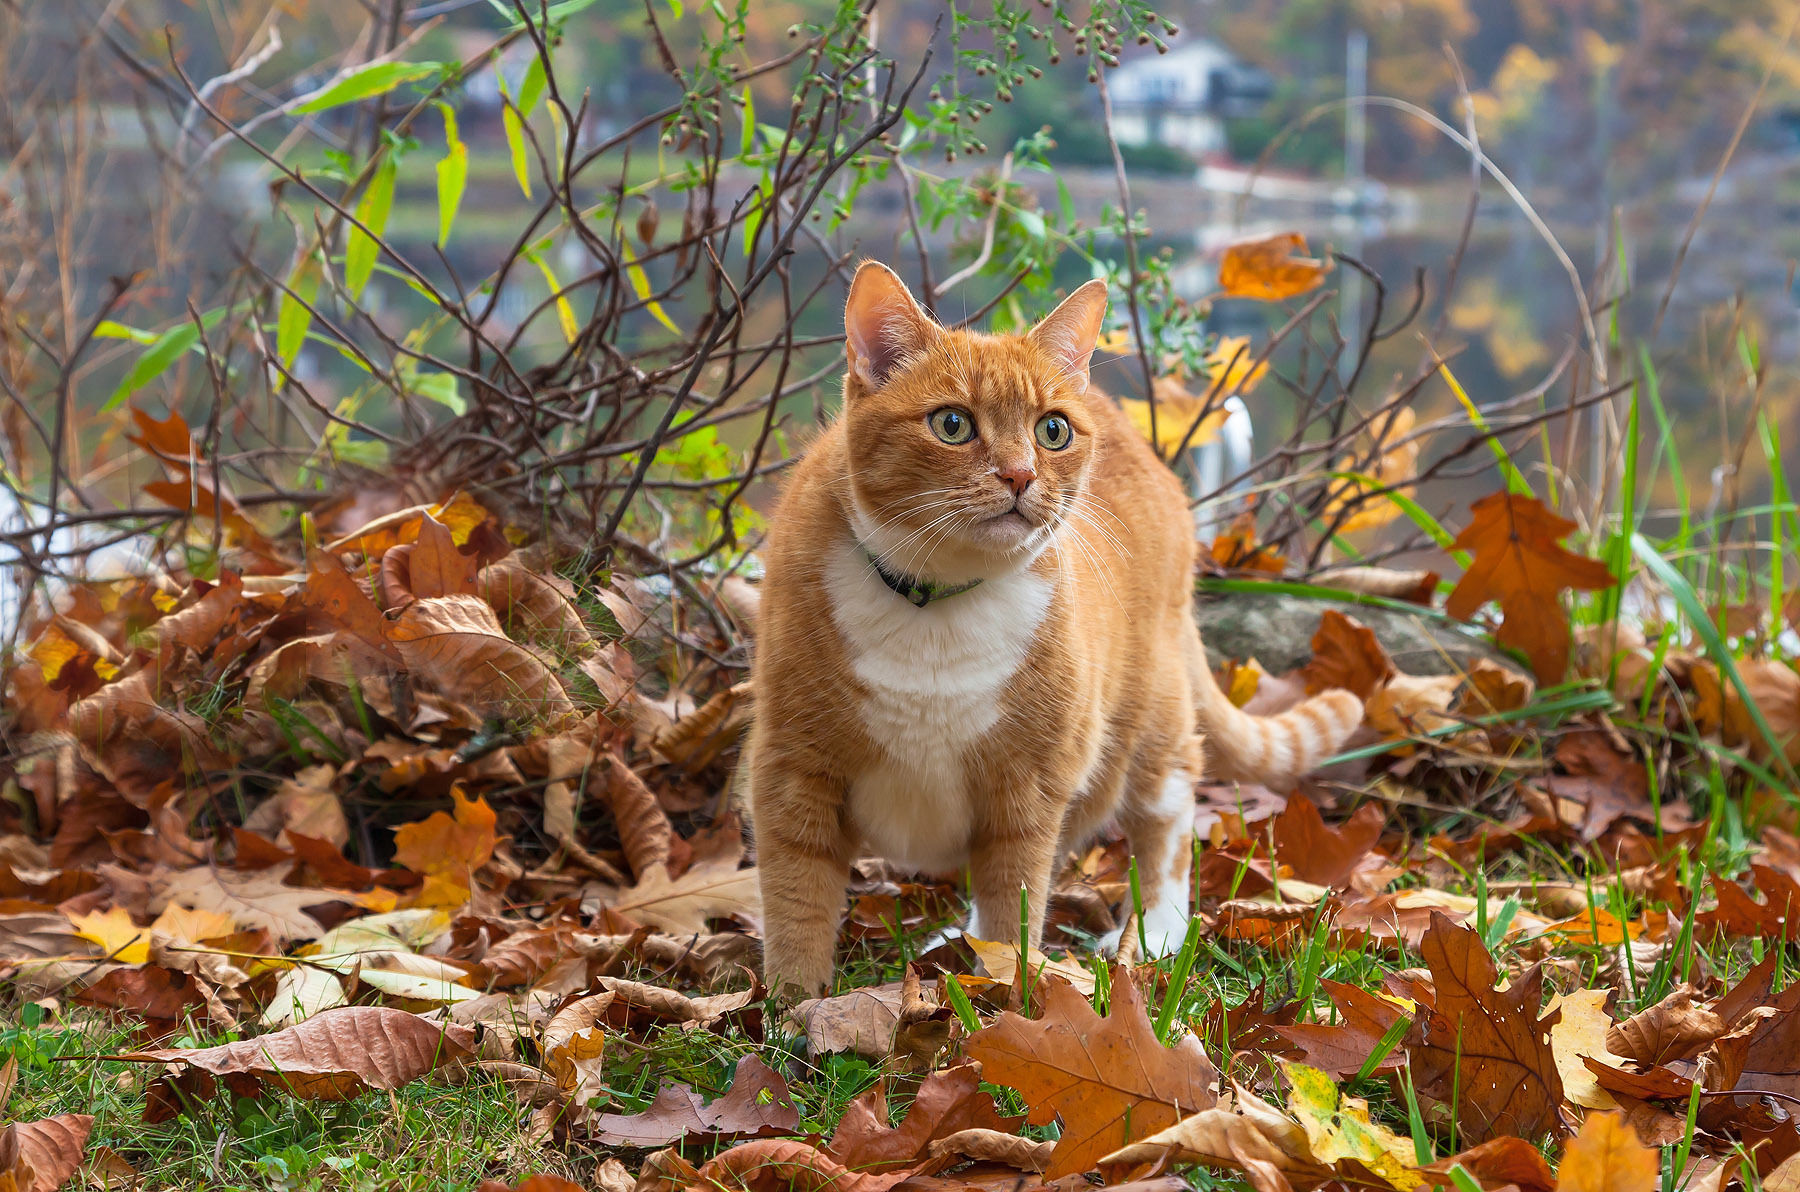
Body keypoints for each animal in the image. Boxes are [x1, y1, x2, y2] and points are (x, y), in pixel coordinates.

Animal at [741, 264, 1353, 1001]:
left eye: (1053, 431)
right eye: (952, 424)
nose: (1020, 474)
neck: (934, 608)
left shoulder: (1027, 787)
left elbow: (1016, 904)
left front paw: (1002, 994)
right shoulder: (792, 772)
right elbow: (796, 900)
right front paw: (789, 1009)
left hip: (1150, 718)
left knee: (1167, 820)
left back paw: (1156, 932)